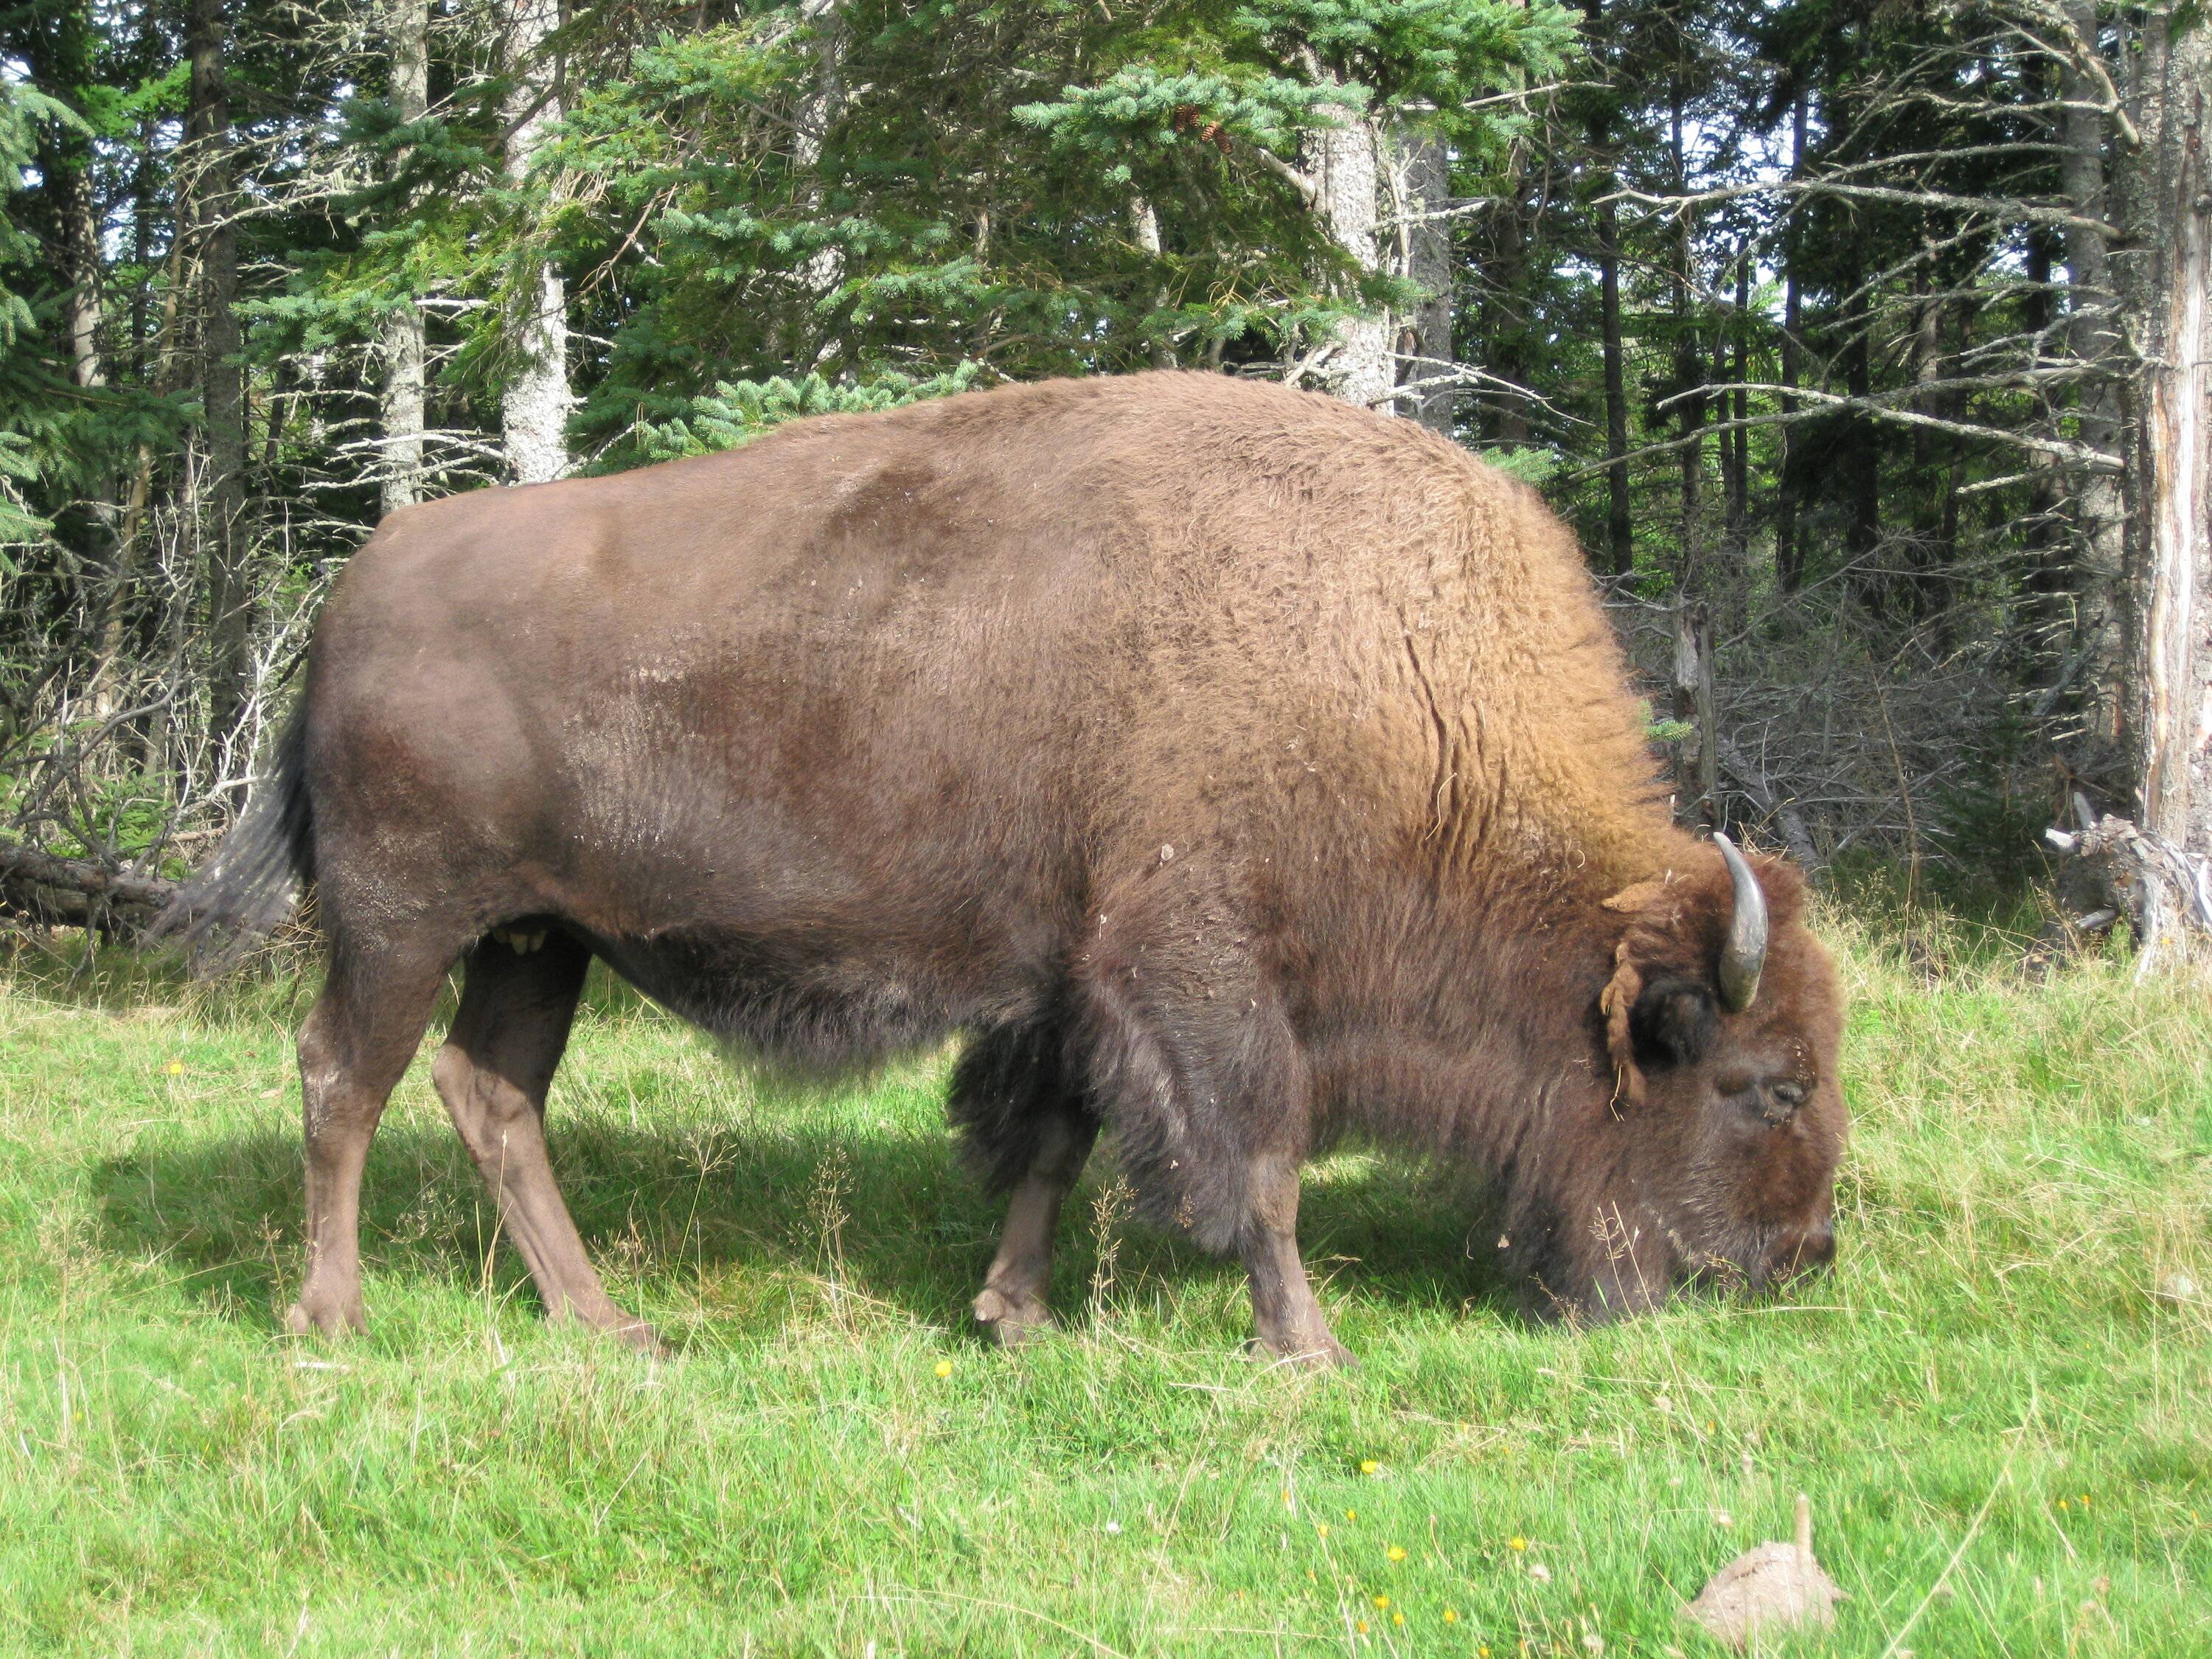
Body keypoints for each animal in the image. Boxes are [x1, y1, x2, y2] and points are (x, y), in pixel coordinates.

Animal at [162, 371, 1845, 1365]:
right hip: (401, 922)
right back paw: (330, 1316)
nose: (1803, 1258)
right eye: (1763, 1085)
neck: (1388, 672)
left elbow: (1050, 1145)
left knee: (491, 1094)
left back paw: (611, 1324)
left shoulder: (1069, 986)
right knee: (344, 1079)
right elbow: (1265, 1163)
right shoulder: (1202, 971)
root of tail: (350, 593)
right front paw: (1306, 1349)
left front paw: (1011, 1316)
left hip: (537, 938)